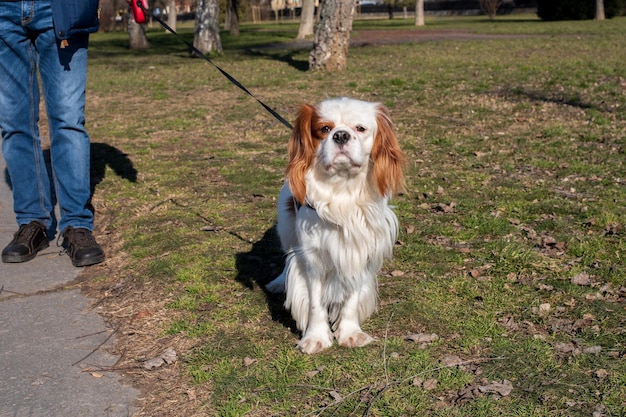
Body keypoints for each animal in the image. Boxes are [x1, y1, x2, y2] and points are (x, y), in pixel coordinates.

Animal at [264, 98, 404, 354]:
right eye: (325, 129)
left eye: (360, 128)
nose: (340, 135)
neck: (342, 190)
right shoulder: (312, 257)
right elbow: (315, 303)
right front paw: (316, 337)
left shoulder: (359, 251)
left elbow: (352, 299)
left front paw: (350, 333)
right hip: (287, 229)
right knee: (288, 256)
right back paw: (279, 282)